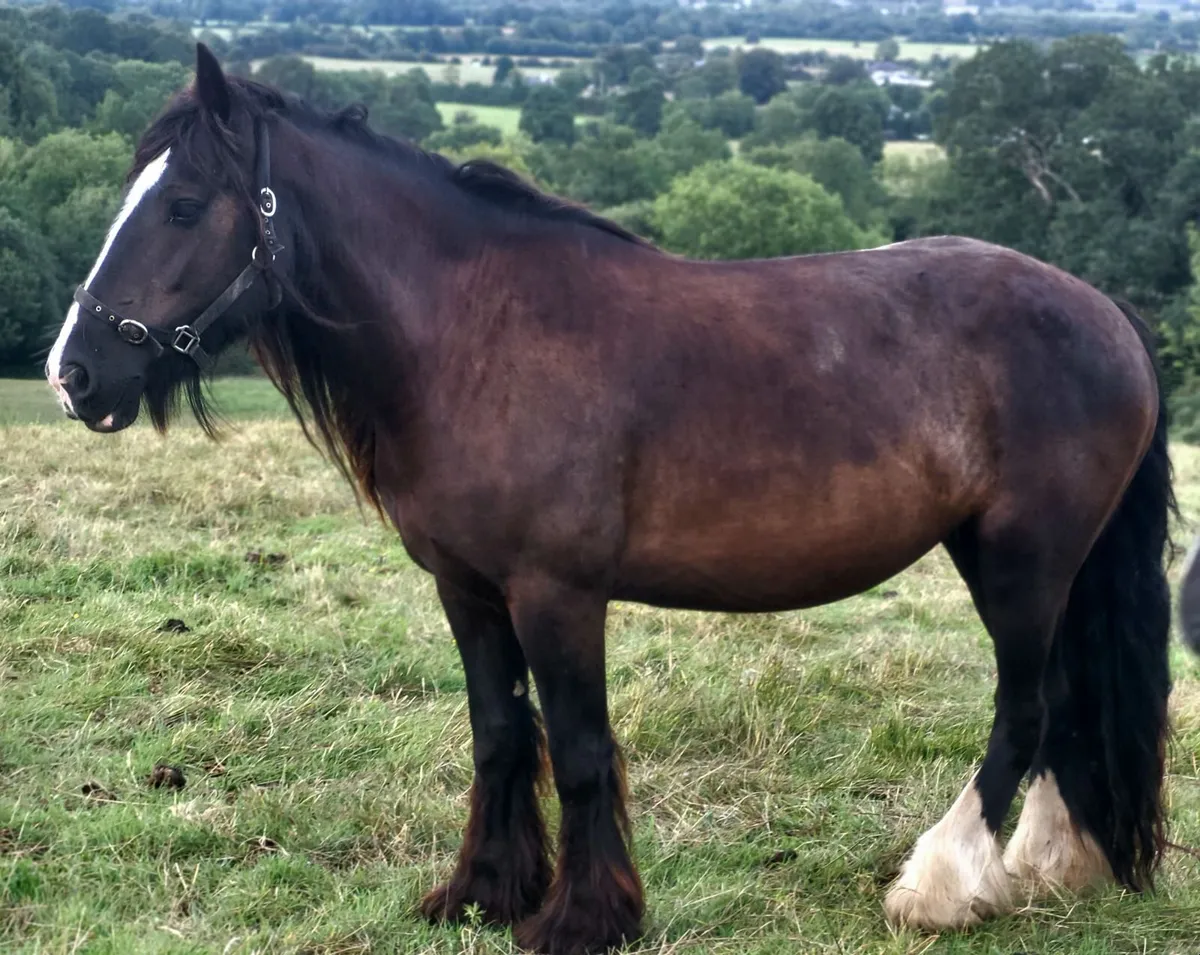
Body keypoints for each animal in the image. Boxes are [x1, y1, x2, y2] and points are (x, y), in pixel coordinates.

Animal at [46, 44, 1178, 954]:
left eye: (183, 205)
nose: (74, 372)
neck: (476, 334)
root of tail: (1105, 311)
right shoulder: (469, 589)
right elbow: (501, 734)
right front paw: (483, 892)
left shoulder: (557, 592)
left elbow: (583, 748)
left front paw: (585, 918)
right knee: (1065, 705)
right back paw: (1045, 867)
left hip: (1022, 562)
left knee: (1024, 708)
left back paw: (941, 886)